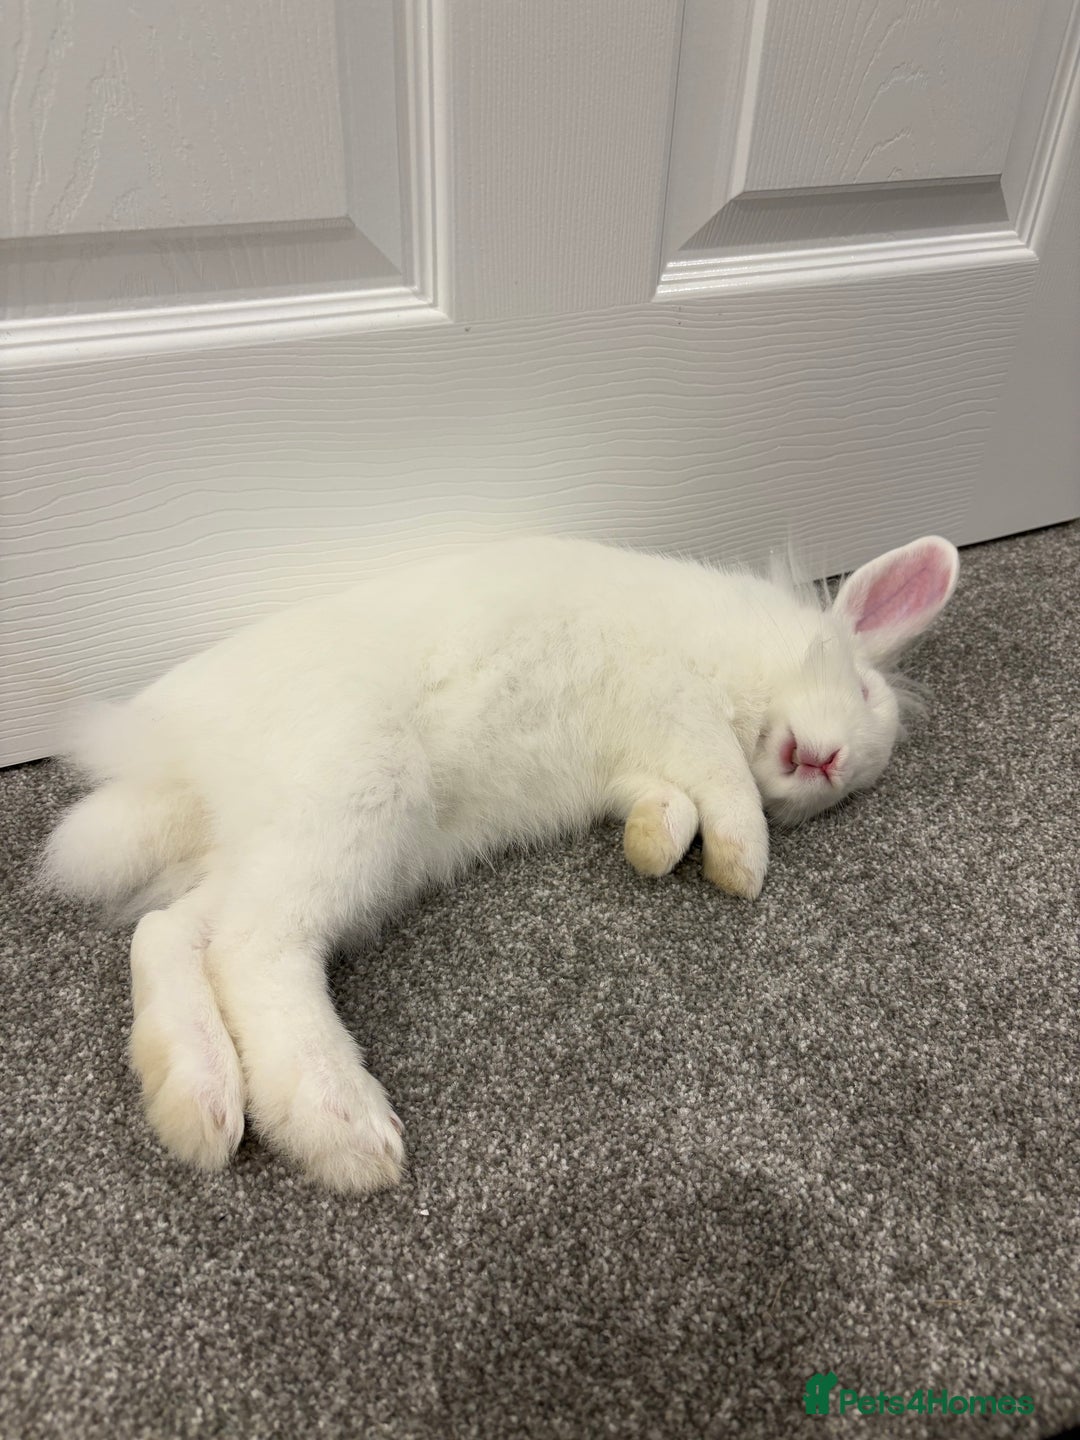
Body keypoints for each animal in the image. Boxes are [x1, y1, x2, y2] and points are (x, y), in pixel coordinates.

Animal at [41, 532, 959, 1193]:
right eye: (865, 693)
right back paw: (344, 1129)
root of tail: (174, 761)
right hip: (351, 790)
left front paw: (656, 848)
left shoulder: (635, 766)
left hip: (285, 845)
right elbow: (725, 783)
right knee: (253, 951)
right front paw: (744, 864)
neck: (748, 668)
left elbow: (668, 806)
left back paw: (196, 1102)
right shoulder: (679, 707)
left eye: (848, 789)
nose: (827, 767)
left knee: (172, 934)